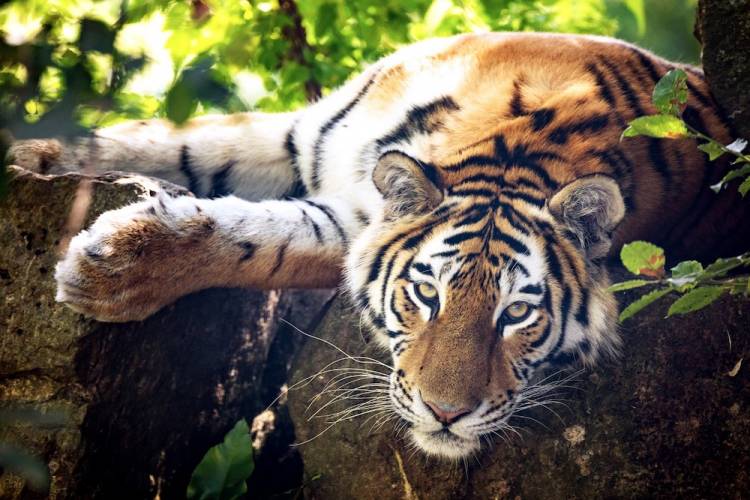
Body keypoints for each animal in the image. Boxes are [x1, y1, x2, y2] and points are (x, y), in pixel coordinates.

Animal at [7, 33, 750, 458]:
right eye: (425, 293)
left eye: (517, 314)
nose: (446, 416)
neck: (505, 148)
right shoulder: (304, 133)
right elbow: (178, 142)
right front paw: (34, 156)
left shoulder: (348, 224)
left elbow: (261, 244)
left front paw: (109, 271)